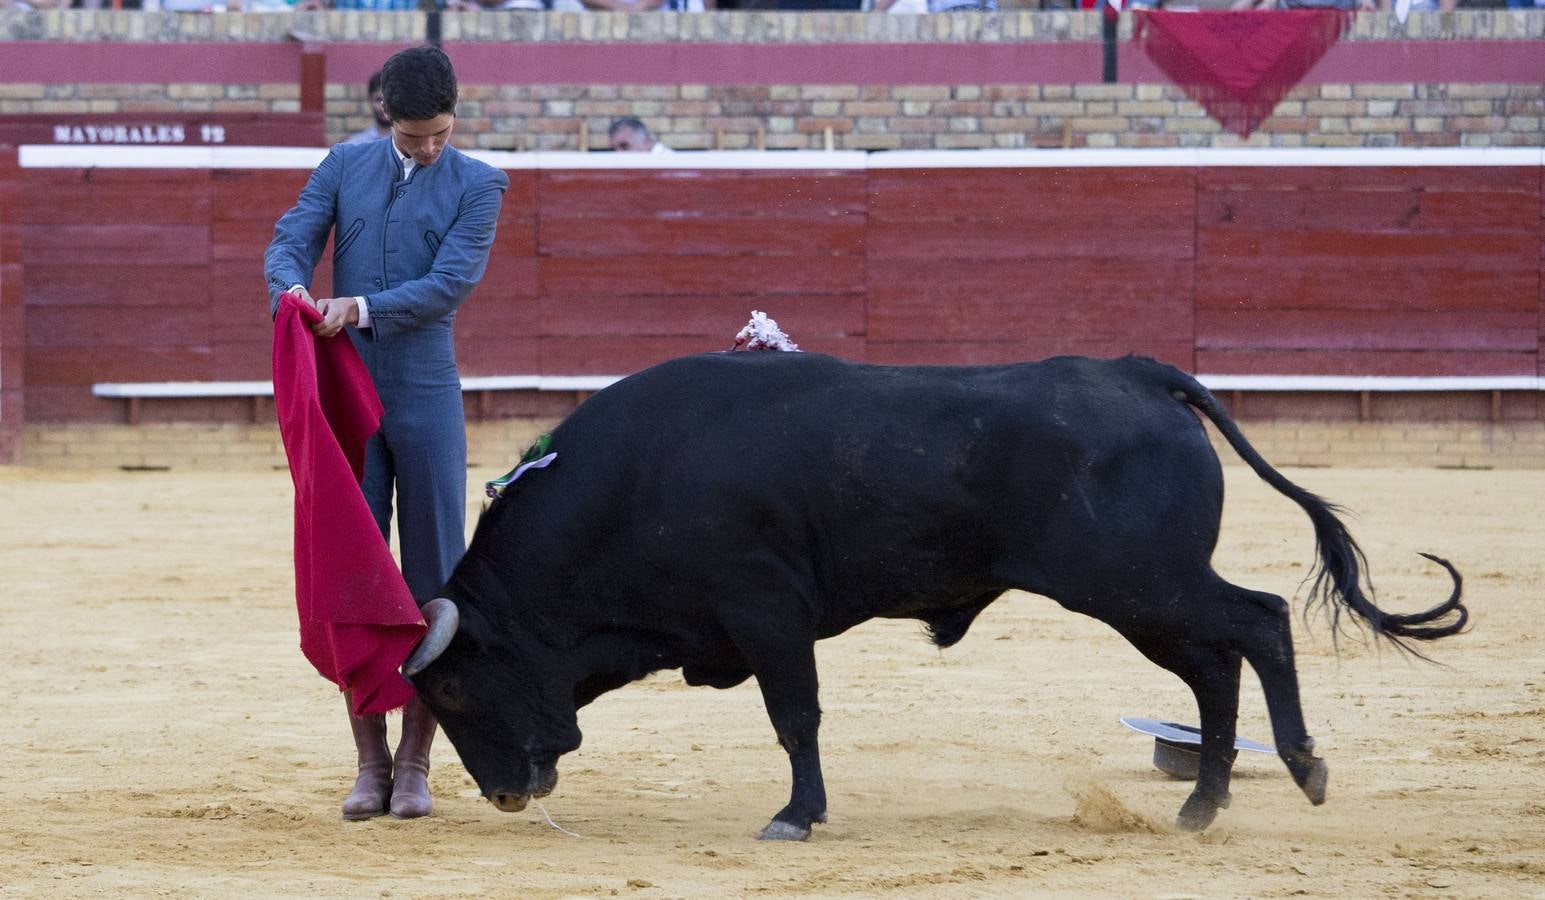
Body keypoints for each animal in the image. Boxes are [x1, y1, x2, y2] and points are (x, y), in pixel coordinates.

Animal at [398, 351, 1458, 839]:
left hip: (1137, 583)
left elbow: (795, 716)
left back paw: (1301, 769)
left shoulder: (768, 615)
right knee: (1212, 665)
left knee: (1256, 623)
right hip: (1140, 596)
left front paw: (797, 815)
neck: (632, 485)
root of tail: (1133, 372)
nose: (502, 794)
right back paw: (1201, 804)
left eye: (449, 689)